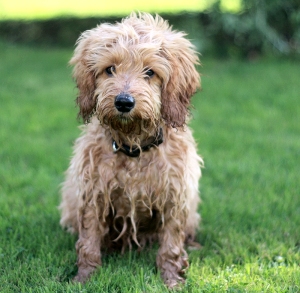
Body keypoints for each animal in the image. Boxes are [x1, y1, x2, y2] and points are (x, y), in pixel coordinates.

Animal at [59, 12, 203, 288]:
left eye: (150, 72)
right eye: (110, 69)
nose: (124, 102)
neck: (133, 147)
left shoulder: (175, 195)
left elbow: (171, 246)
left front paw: (172, 280)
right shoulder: (93, 193)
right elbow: (88, 243)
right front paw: (83, 278)